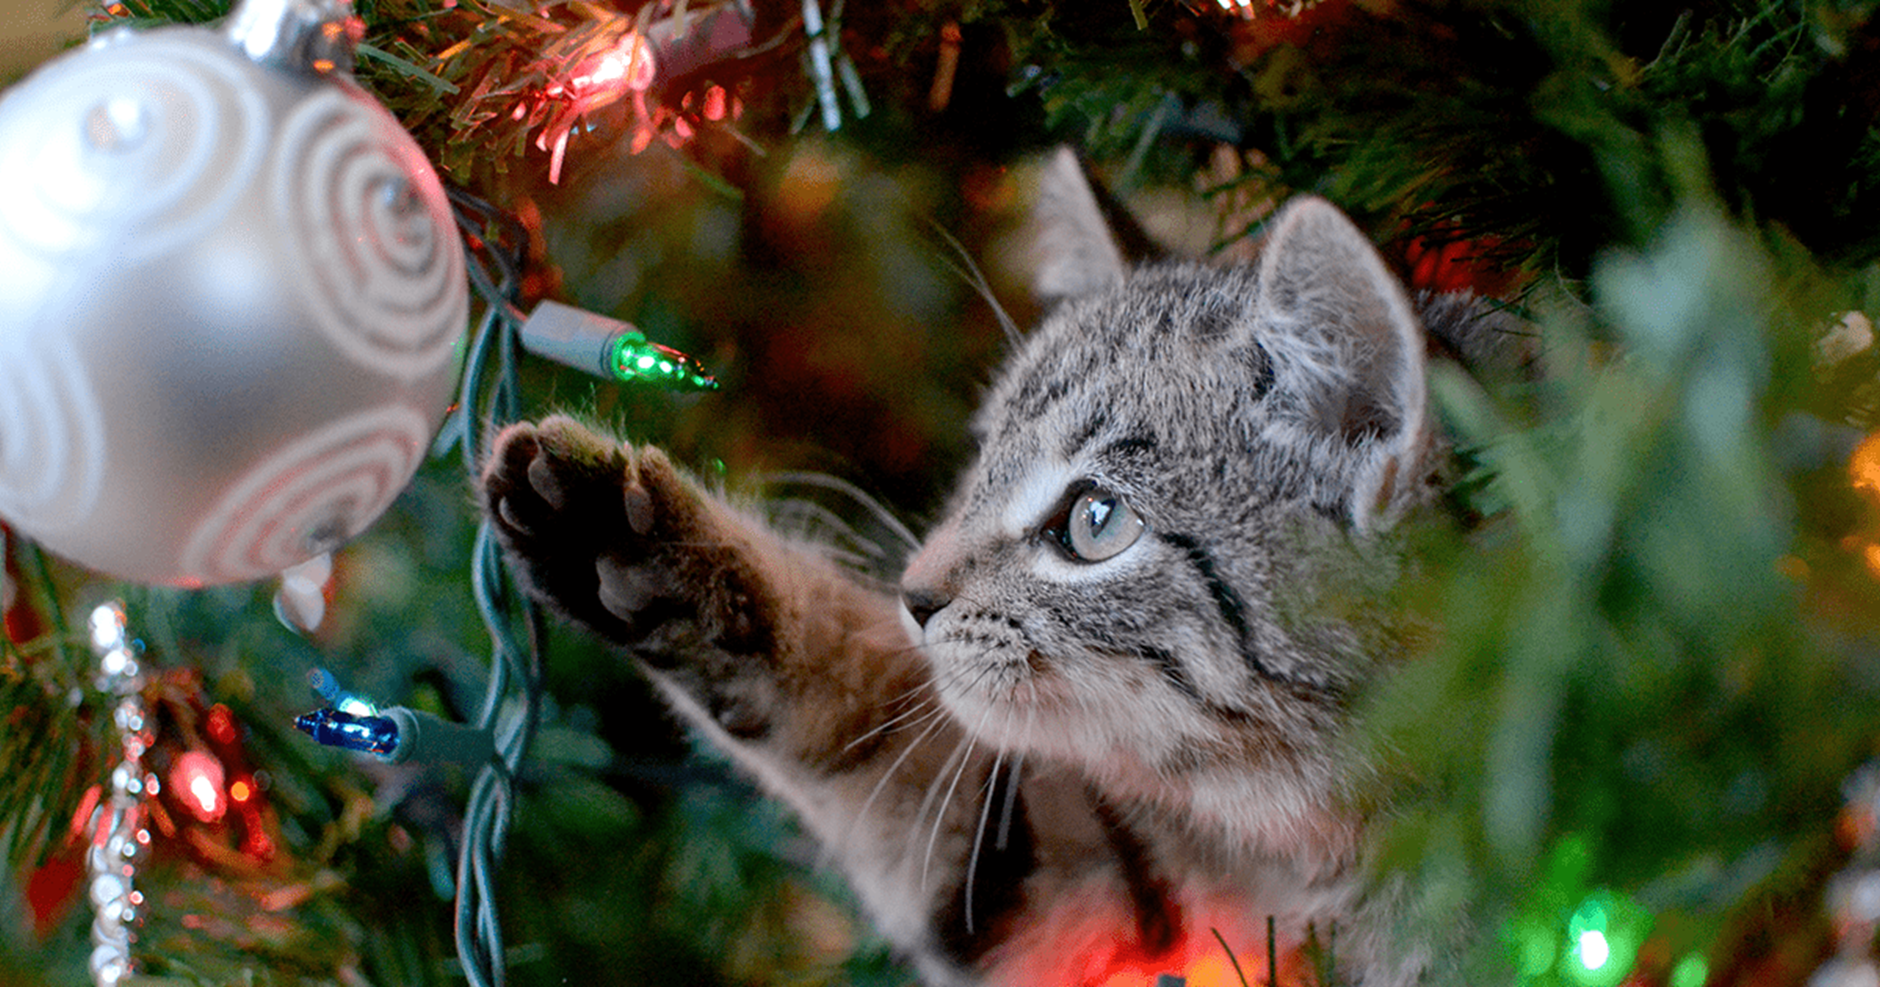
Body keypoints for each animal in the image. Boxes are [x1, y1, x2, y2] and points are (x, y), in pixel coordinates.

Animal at [481, 150, 1466, 977]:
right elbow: (876, 728)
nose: (915, 594)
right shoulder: (1074, 905)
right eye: (984, 454)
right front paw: (641, 551)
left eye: (1096, 520)